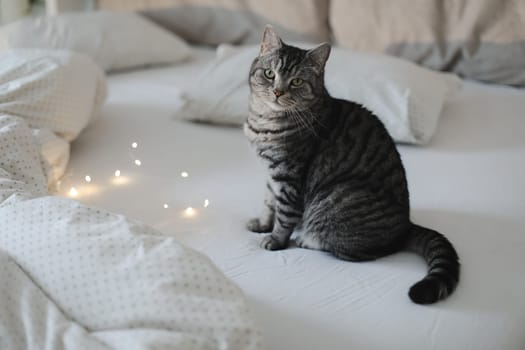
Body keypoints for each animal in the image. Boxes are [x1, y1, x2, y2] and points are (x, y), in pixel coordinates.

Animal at [243, 26, 458, 304]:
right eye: (270, 74)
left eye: (297, 82)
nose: (278, 91)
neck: (264, 122)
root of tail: (406, 226)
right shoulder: (272, 176)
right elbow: (269, 204)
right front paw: (261, 225)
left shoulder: (288, 176)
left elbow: (285, 214)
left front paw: (275, 240)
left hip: (336, 197)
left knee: (358, 252)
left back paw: (307, 240)